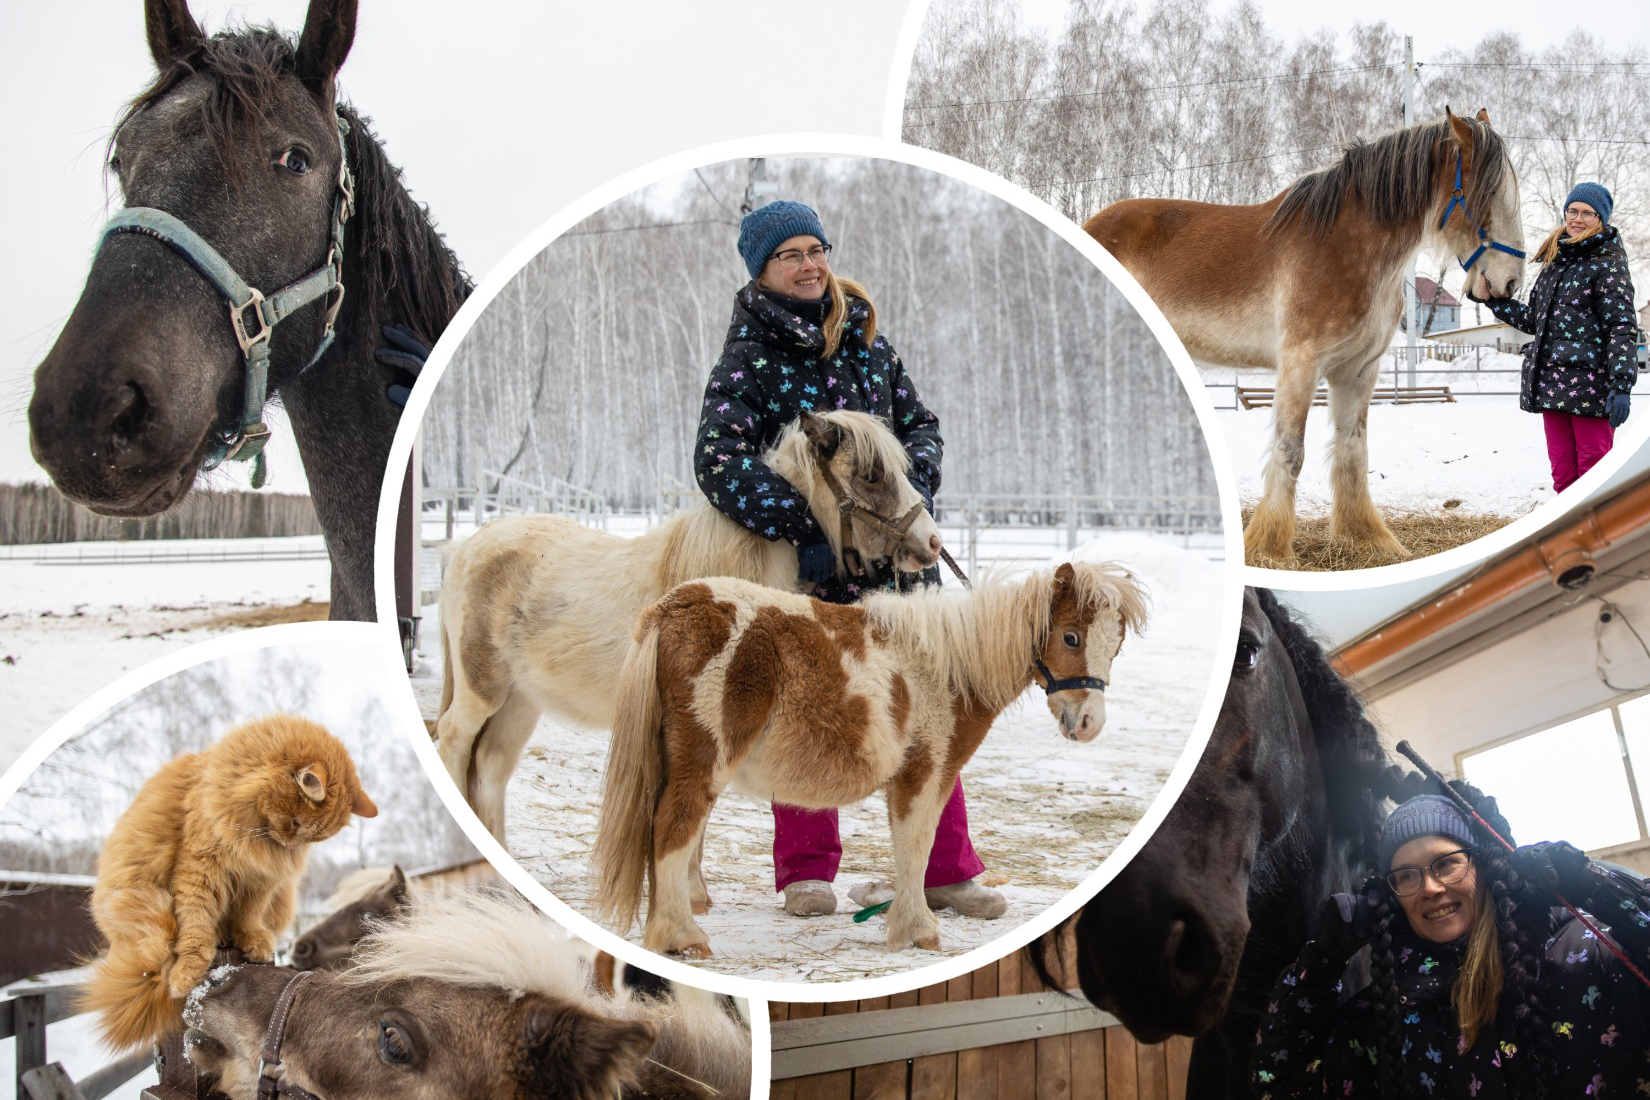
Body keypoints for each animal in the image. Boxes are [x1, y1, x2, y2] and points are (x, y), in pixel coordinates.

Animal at [82, 715, 377, 1048]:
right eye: (297, 823)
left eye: (314, 837)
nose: (291, 845)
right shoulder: (201, 868)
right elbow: (196, 926)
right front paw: (186, 972)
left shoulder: (259, 882)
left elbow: (248, 917)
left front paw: (253, 942)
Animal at [435, 410, 943, 844]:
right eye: (872, 474)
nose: (932, 542)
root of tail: (464, 549)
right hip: (483, 690)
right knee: (454, 741)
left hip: (522, 700)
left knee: (491, 767)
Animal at [590, 560, 1148, 956]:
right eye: (1071, 636)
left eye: (1116, 646)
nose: (1088, 724)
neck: (950, 667)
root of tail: (673, 607)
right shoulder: (924, 773)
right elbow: (915, 847)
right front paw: (917, 930)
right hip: (705, 758)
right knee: (673, 827)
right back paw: (679, 935)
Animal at [1089, 108, 1524, 567]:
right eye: (1489, 194)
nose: (1509, 283)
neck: (1346, 247)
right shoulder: (1301, 365)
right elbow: (1290, 452)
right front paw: (1271, 549)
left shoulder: (1358, 372)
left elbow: (1353, 451)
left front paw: (1366, 538)